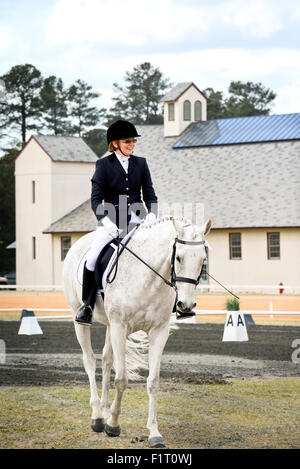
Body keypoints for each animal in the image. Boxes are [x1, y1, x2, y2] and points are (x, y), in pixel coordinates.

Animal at [62, 216, 211, 446]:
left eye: (203, 259)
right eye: (178, 257)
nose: (185, 305)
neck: (149, 278)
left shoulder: (158, 331)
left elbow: (153, 382)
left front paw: (154, 433)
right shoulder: (120, 326)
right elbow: (121, 379)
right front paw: (113, 425)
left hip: (109, 325)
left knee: (106, 360)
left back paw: (104, 409)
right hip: (80, 317)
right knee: (89, 360)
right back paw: (97, 416)